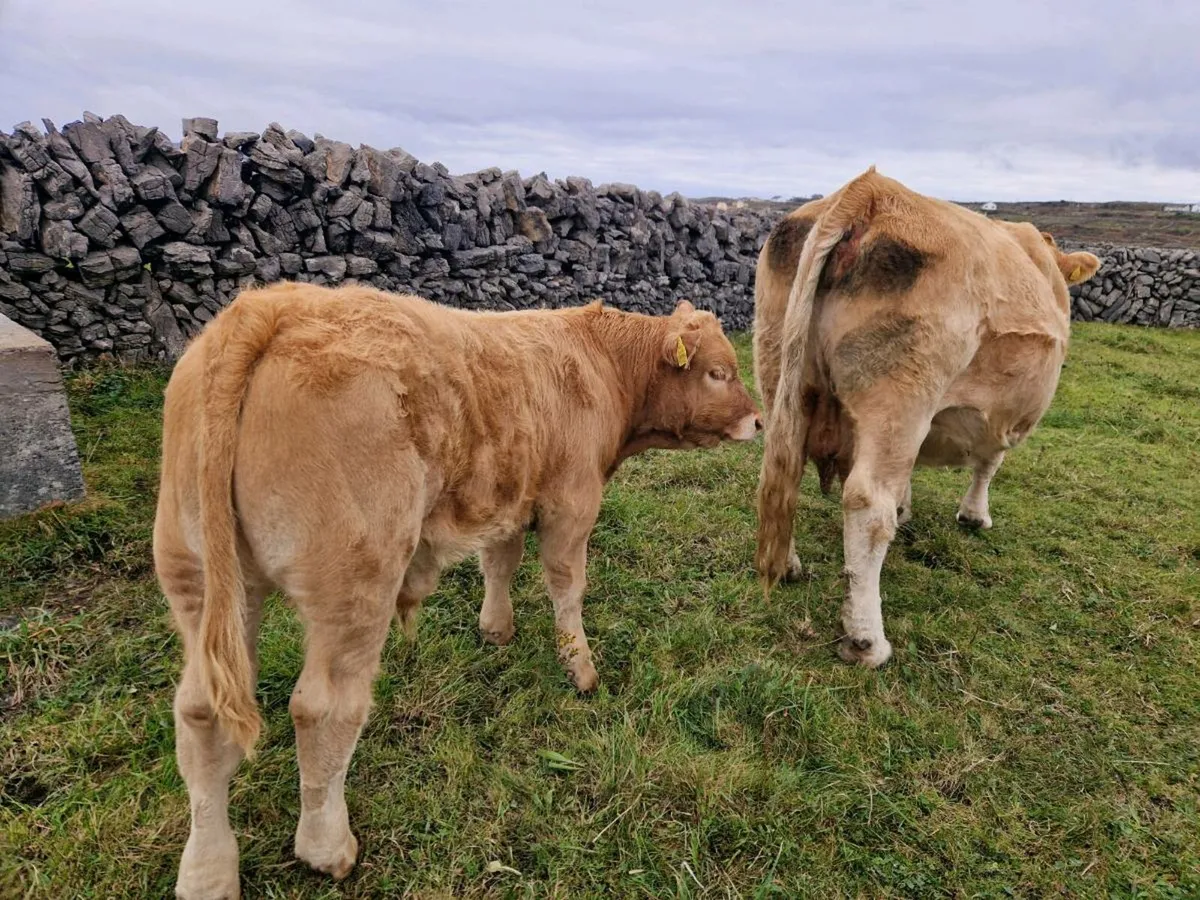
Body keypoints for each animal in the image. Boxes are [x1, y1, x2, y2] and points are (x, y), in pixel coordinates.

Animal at [153, 281, 762, 898]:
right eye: (718, 373)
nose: (759, 420)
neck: (600, 363)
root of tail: (271, 305)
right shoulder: (572, 502)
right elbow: (567, 586)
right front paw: (580, 668)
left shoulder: (513, 496)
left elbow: (499, 563)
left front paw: (496, 630)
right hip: (354, 587)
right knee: (322, 710)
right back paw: (328, 849)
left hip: (201, 583)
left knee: (200, 714)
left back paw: (207, 872)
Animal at [753, 167, 1101, 668]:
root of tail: (867, 193)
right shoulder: (999, 419)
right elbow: (988, 464)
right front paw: (974, 516)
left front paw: (908, 506)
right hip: (901, 397)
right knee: (866, 503)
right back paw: (866, 639)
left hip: (780, 373)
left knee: (783, 472)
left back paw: (789, 566)